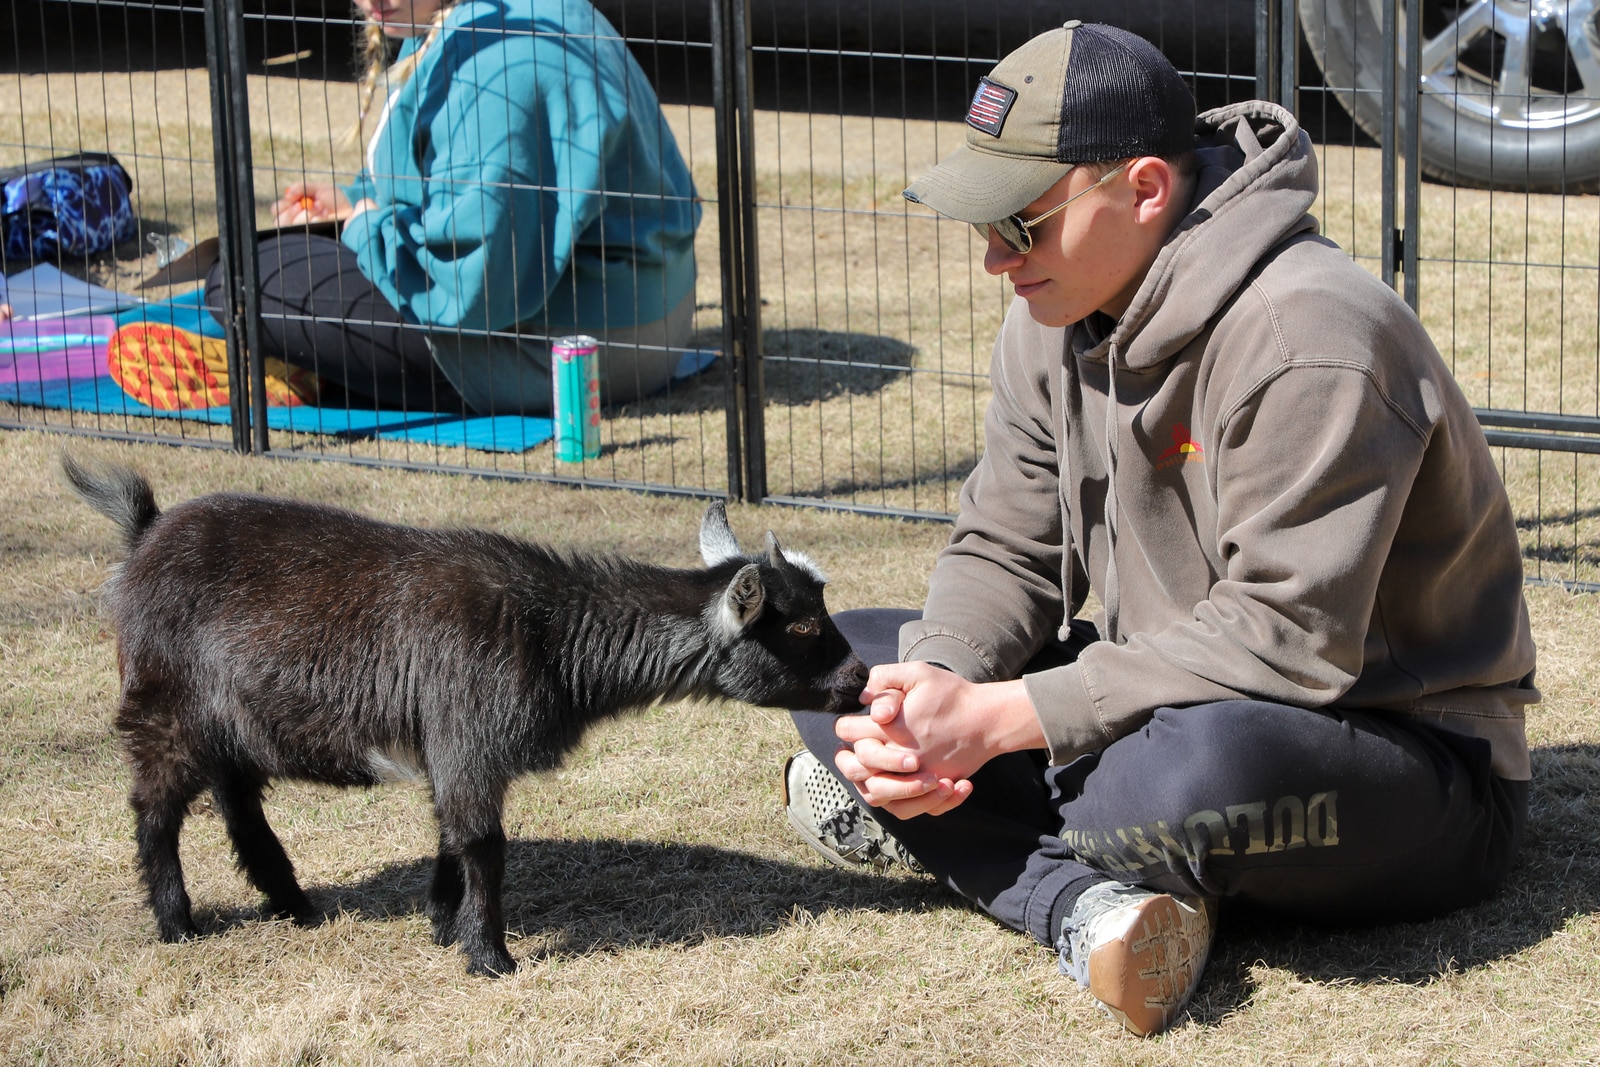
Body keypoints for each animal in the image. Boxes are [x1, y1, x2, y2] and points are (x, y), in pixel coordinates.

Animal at [61, 452, 866, 976]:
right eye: (800, 625)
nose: (860, 677)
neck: (550, 631)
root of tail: (144, 533)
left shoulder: (457, 747)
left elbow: (453, 834)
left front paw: (443, 925)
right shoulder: (469, 731)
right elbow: (483, 841)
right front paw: (490, 956)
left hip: (232, 715)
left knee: (235, 799)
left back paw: (292, 901)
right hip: (163, 703)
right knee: (156, 809)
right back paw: (177, 924)